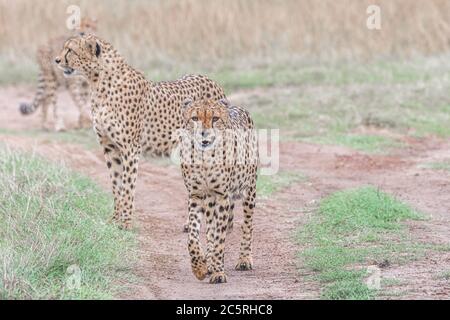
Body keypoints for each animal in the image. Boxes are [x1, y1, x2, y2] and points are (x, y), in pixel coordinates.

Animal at [54, 33, 227, 230]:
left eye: (70, 50)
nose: (57, 60)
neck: (98, 82)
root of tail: (211, 80)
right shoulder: (109, 147)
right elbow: (116, 184)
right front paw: (115, 219)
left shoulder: (130, 148)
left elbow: (128, 185)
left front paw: (126, 222)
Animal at [178, 99, 258, 284]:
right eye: (195, 118)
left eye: (215, 118)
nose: (204, 135)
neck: (204, 157)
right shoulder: (196, 195)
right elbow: (193, 237)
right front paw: (200, 267)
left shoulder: (222, 197)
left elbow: (220, 238)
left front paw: (218, 272)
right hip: (210, 200)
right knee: (210, 229)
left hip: (249, 190)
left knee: (247, 225)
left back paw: (244, 259)